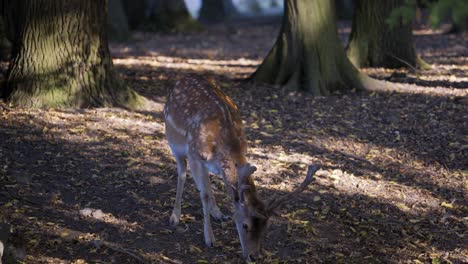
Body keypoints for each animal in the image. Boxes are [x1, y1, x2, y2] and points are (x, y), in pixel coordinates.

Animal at [165, 74, 318, 262]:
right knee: (181, 173)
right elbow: (204, 194)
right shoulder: (195, 156)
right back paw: (175, 216)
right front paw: (210, 239)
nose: (255, 256)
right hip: (173, 141)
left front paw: (217, 216)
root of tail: (182, 77)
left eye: (266, 226)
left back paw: (217, 213)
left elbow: (214, 189)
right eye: (245, 225)